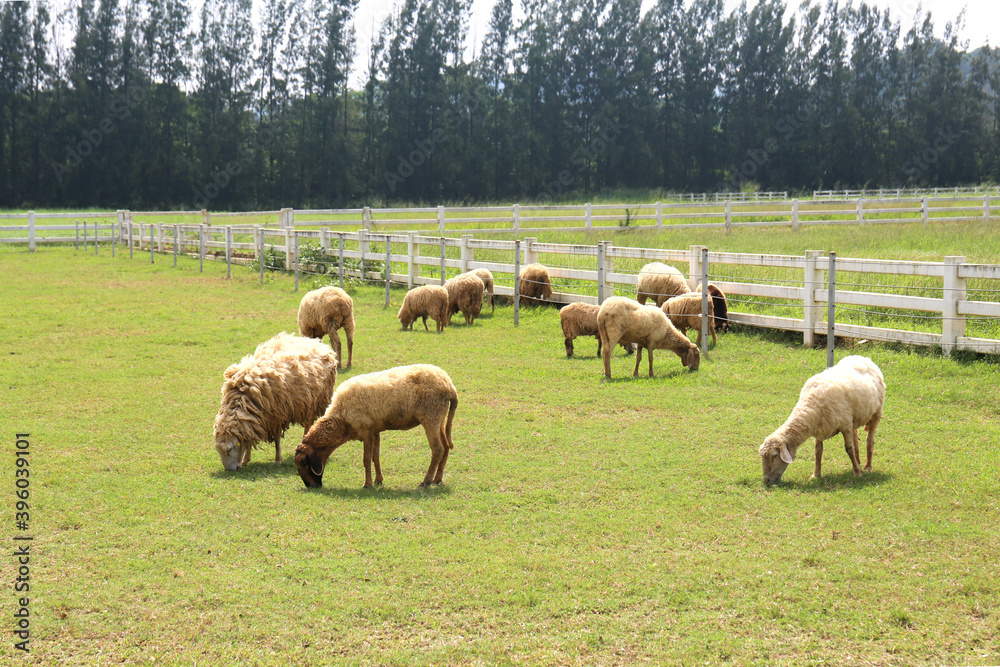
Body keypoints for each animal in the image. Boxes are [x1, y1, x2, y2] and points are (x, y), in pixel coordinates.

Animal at [213, 332, 339, 471]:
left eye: (229, 450)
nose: (229, 470)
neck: (244, 395)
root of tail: (315, 342)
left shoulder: (277, 415)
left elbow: (277, 440)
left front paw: (278, 460)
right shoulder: (255, 419)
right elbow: (249, 440)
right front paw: (246, 459)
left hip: (312, 403)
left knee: (308, 425)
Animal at [295, 364, 458, 489]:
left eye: (303, 462)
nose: (310, 486)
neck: (340, 420)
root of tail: (450, 386)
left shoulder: (366, 429)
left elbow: (366, 459)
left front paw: (367, 484)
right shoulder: (375, 430)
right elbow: (376, 456)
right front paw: (378, 480)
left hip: (431, 416)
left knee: (437, 449)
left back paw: (426, 481)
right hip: (439, 417)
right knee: (445, 447)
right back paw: (437, 479)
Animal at [758, 355, 885, 485]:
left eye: (774, 456)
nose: (766, 481)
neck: (810, 405)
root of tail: (862, 358)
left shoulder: (845, 425)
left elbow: (849, 449)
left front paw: (857, 473)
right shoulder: (820, 429)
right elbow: (818, 452)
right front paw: (816, 474)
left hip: (876, 412)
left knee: (869, 440)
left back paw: (867, 467)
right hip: (854, 419)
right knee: (855, 437)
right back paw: (858, 463)